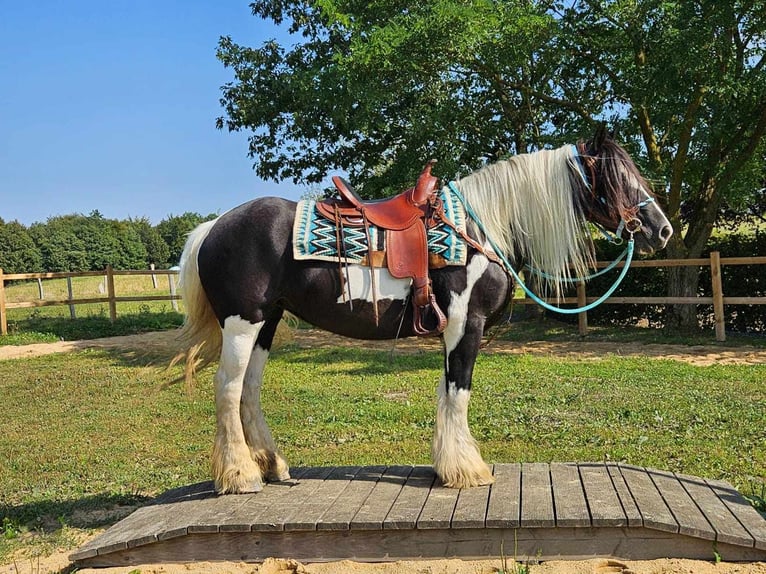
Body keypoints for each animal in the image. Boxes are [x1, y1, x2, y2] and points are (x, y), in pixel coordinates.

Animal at [178, 130, 672, 496]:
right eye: (616, 176)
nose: (662, 230)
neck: (482, 230)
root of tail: (213, 227)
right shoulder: (466, 326)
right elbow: (459, 392)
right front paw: (468, 471)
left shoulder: (452, 330)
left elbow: (446, 392)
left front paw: (447, 465)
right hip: (243, 323)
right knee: (228, 388)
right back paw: (241, 476)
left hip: (267, 322)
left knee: (249, 389)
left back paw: (271, 465)